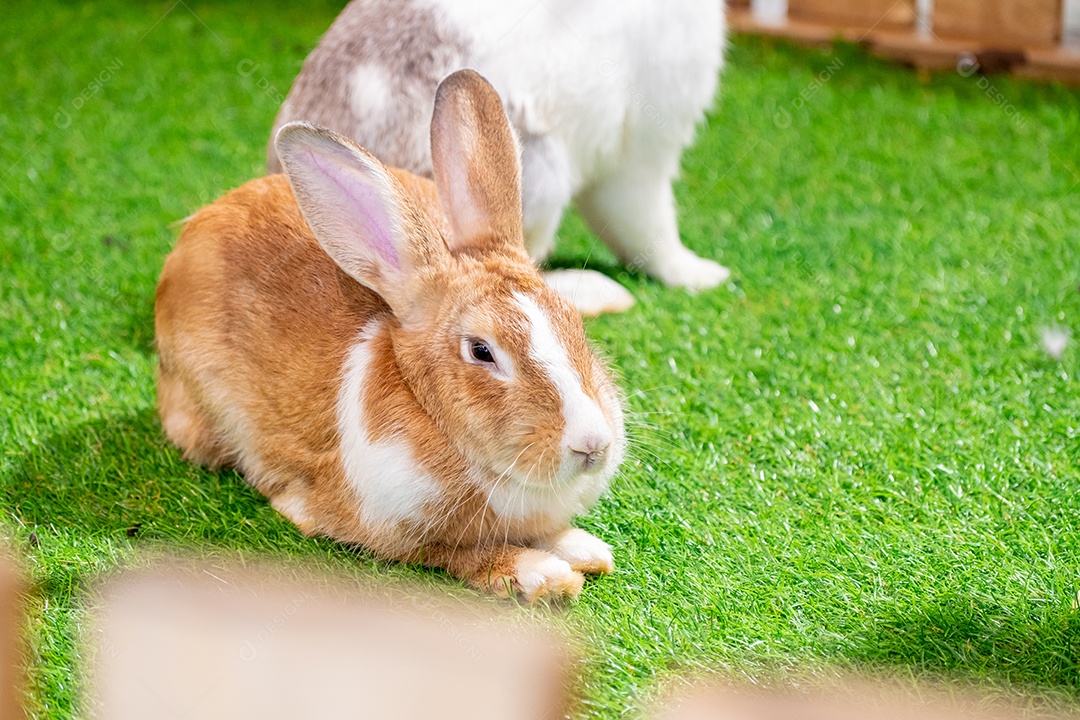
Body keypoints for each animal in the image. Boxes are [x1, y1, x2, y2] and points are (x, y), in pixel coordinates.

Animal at [153, 70, 626, 600]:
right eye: (482, 351)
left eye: (574, 322)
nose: (592, 445)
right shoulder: (387, 528)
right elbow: (460, 554)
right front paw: (544, 575)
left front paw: (587, 549)